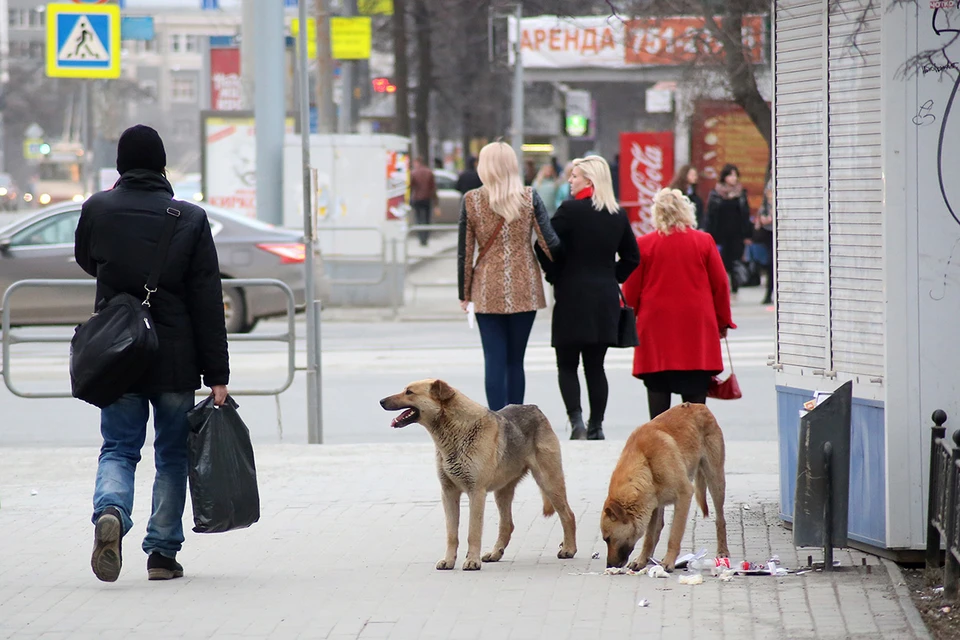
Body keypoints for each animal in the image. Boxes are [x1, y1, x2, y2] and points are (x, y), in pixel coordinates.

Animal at [380, 380, 576, 568]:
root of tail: (535, 408)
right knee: (507, 525)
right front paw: (449, 561)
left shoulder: (476, 493)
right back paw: (496, 553)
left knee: (568, 515)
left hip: (549, 482)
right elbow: (452, 534)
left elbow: (472, 533)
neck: (454, 432)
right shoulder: (448, 494)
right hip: (502, 492)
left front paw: (472, 561)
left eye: (409, 392)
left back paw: (569, 549)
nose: (381, 401)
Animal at [600, 402, 728, 572]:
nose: (609, 566)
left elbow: (674, 535)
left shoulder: (684, 496)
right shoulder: (651, 505)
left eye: (607, 539)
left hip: (716, 481)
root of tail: (700, 406)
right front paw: (642, 560)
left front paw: (669, 561)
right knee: (658, 528)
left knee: (720, 520)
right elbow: (649, 537)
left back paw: (723, 551)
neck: (646, 464)